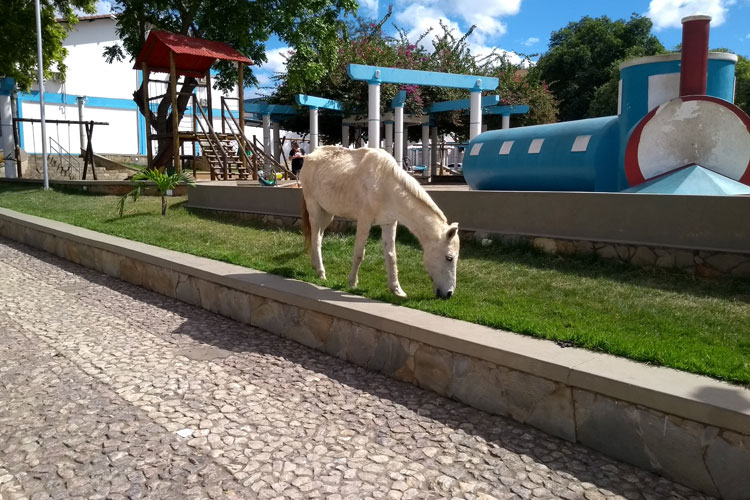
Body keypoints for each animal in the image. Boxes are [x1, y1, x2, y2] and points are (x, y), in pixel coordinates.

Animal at [302, 146, 462, 298]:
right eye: (449, 258)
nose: (449, 294)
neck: (387, 186)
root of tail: (310, 156)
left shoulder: (389, 223)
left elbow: (391, 256)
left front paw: (397, 290)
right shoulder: (364, 220)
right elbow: (359, 253)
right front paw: (352, 283)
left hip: (327, 214)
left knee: (319, 236)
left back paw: (315, 266)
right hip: (314, 209)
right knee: (316, 239)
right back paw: (321, 273)